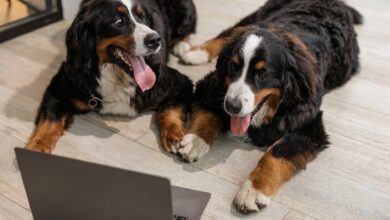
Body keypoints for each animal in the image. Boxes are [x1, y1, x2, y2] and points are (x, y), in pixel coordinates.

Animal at [25, 0, 197, 154]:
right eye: (118, 21)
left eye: (143, 18)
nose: (156, 39)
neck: (118, 75)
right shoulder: (58, 88)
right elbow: (50, 121)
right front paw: (37, 146)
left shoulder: (178, 82)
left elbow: (171, 110)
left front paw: (173, 135)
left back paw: (182, 46)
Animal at [174, 0, 362, 214]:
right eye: (233, 66)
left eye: (262, 73)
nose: (232, 106)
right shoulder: (211, 86)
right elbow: (209, 114)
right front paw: (196, 141)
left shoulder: (309, 125)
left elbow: (276, 153)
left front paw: (253, 190)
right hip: (254, 17)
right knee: (226, 34)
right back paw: (196, 53)